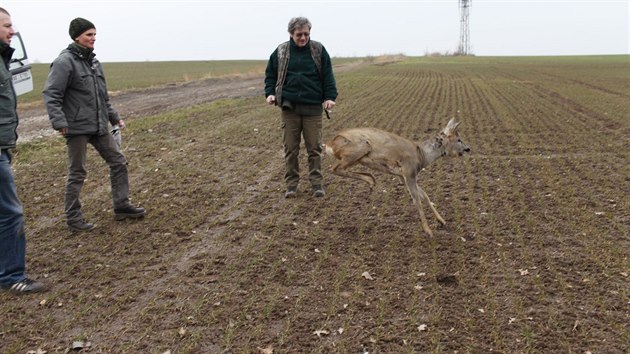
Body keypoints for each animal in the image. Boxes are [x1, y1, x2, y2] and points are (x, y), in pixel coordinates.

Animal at [326, 119, 470, 238]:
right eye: (458, 139)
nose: (468, 148)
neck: (422, 156)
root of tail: (329, 145)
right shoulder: (408, 172)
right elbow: (417, 200)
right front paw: (428, 231)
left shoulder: (403, 176)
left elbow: (425, 195)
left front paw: (442, 221)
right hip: (358, 148)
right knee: (335, 169)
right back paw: (370, 180)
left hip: (356, 157)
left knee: (338, 168)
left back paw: (370, 179)